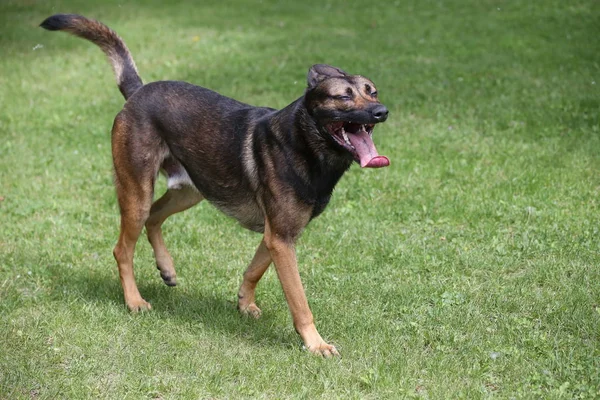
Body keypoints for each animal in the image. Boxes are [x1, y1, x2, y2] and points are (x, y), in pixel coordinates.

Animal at [41, 13, 390, 356]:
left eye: (371, 91)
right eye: (343, 97)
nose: (381, 111)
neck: (303, 140)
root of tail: (138, 91)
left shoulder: (278, 235)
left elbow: (254, 269)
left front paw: (244, 302)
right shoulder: (281, 238)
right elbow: (300, 301)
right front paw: (315, 344)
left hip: (189, 190)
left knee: (154, 217)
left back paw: (166, 268)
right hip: (138, 192)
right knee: (122, 249)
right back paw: (134, 300)